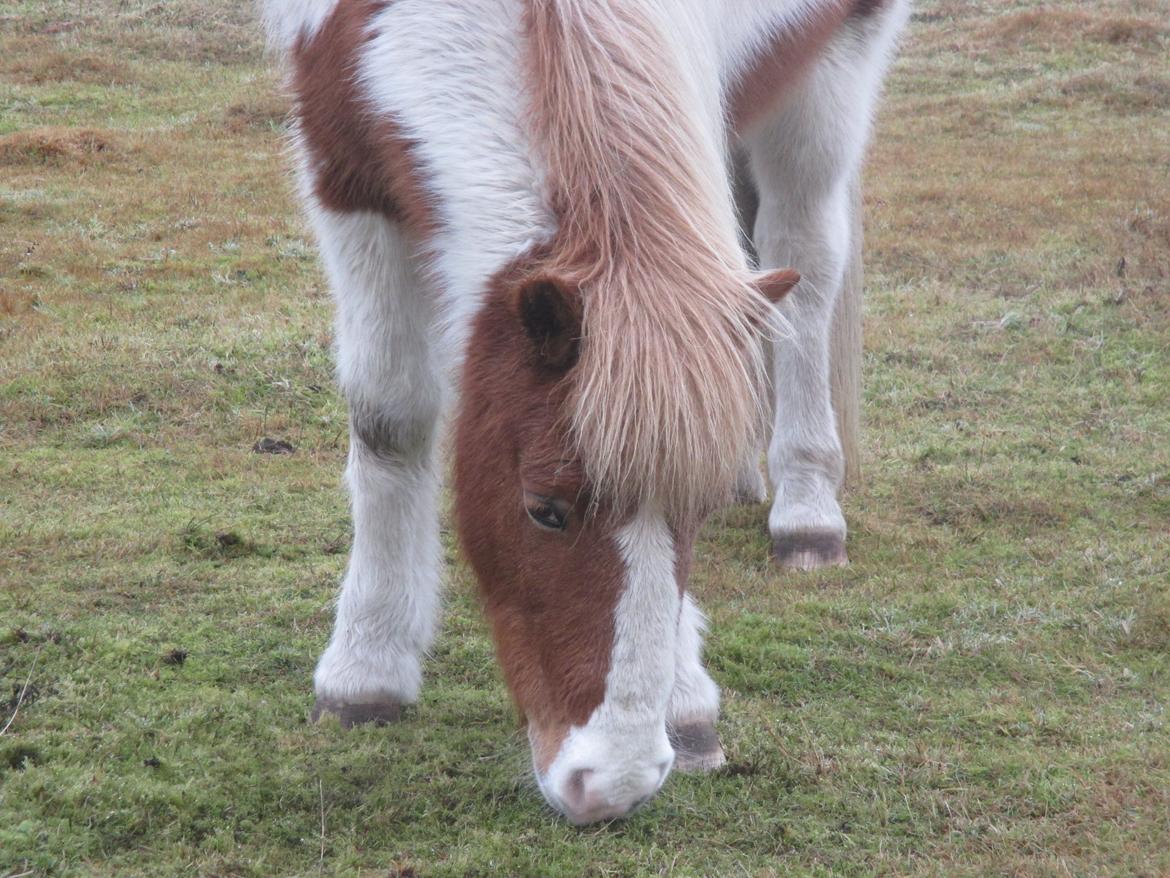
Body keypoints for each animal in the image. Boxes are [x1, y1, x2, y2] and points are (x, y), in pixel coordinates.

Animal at [263, 0, 903, 824]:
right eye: (544, 509)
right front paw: (365, 668)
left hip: (839, 68)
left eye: (691, 519)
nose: (611, 784)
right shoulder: (344, 169)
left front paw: (684, 701)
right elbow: (388, 417)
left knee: (808, 265)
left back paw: (807, 509)